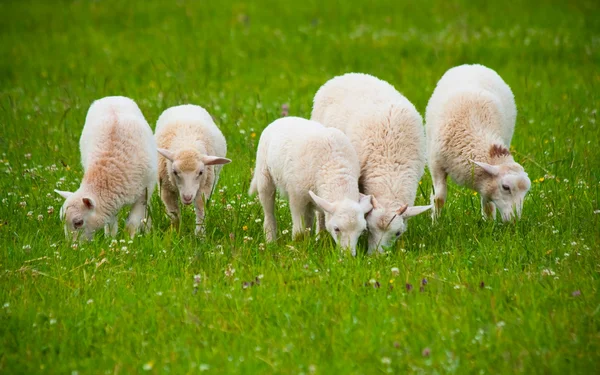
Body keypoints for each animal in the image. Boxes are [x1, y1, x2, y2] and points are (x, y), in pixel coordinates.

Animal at [54, 95, 157, 239]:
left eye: (78, 223)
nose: (71, 245)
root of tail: (111, 97)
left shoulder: (145, 191)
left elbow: (133, 222)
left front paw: (130, 239)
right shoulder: (110, 202)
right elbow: (111, 224)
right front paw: (111, 239)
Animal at [154, 104, 231, 235]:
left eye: (200, 172)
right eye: (175, 172)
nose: (187, 197)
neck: (187, 143)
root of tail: (184, 105)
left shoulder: (204, 187)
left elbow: (200, 209)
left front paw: (200, 235)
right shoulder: (165, 190)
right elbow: (174, 215)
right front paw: (176, 233)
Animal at [247, 117, 370, 258]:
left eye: (362, 230)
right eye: (337, 229)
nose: (349, 256)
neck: (335, 168)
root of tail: (283, 118)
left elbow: (321, 221)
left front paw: (321, 242)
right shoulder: (296, 197)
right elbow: (299, 230)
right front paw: (297, 248)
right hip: (264, 174)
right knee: (268, 211)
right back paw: (270, 241)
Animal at [424, 64, 532, 222]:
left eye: (526, 192)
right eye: (505, 187)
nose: (514, 221)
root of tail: (472, 65)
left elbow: (487, 203)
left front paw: (489, 223)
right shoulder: (436, 164)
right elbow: (439, 198)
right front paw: (435, 223)